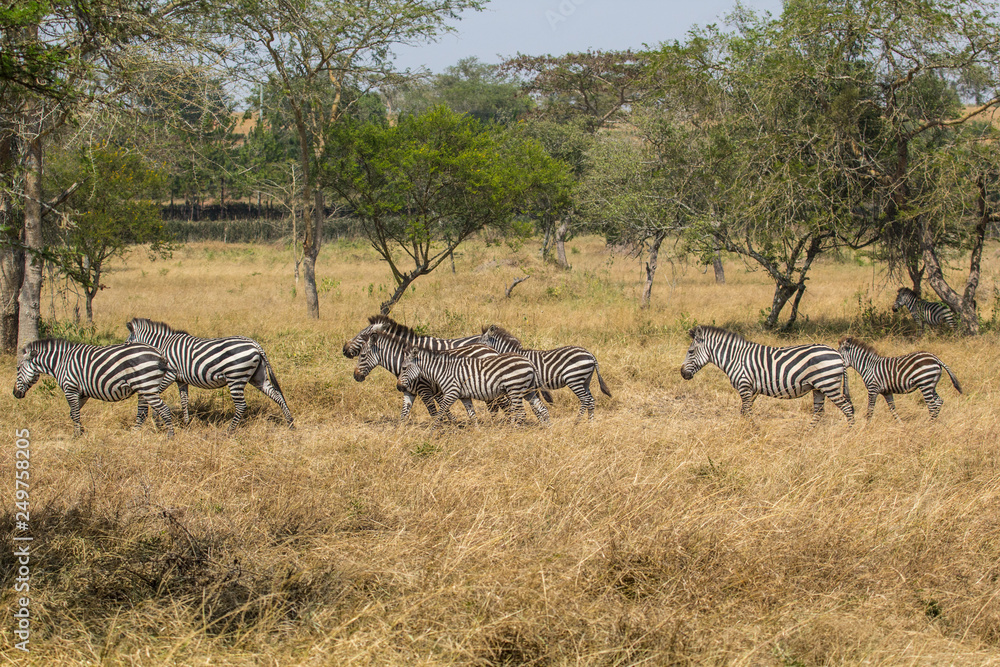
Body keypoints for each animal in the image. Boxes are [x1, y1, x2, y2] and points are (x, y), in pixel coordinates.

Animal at [12, 339, 176, 437]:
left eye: (18, 368)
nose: (15, 394)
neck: (61, 362)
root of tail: (159, 353)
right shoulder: (82, 392)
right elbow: (73, 413)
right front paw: (81, 431)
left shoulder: (70, 387)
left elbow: (75, 413)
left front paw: (76, 435)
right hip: (143, 388)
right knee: (142, 413)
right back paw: (133, 434)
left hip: (147, 387)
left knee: (164, 410)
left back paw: (170, 436)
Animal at [125, 318, 293, 432]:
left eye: (126, 344)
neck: (163, 346)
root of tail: (255, 344)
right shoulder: (181, 379)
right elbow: (184, 400)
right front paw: (186, 422)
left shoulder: (170, 374)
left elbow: (156, 395)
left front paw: (157, 421)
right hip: (258, 377)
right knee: (277, 396)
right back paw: (290, 423)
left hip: (235, 377)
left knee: (241, 405)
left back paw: (229, 431)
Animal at [395, 344, 550, 426]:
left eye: (403, 368)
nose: (399, 388)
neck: (442, 370)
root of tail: (529, 362)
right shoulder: (464, 396)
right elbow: (472, 415)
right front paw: (478, 432)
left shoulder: (451, 392)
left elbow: (439, 413)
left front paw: (432, 432)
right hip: (528, 390)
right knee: (542, 409)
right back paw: (547, 429)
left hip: (515, 389)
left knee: (521, 413)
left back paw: (513, 429)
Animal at [477, 324, 611, 419]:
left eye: (481, 342)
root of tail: (590, 355)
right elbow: (536, 405)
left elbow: (535, 406)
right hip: (585, 380)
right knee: (591, 400)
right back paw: (589, 422)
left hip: (574, 379)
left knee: (585, 400)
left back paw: (577, 422)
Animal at [679, 325, 855, 424]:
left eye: (691, 351)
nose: (682, 373)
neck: (735, 357)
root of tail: (838, 355)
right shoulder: (752, 389)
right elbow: (744, 412)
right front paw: (744, 430)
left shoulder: (744, 385)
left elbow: (747, 411)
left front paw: (752, 431)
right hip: (818, 388)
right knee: (819, 413)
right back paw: (808, 435)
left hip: (828, 385)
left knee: (847, 409)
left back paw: (850, 434)